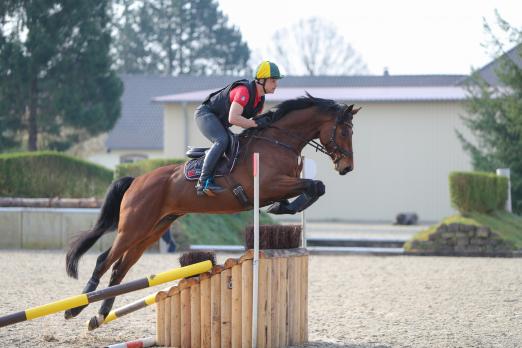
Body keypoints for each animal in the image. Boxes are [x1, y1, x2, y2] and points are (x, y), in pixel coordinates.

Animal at [64, 93, 358, 328]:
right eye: (344, 132)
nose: (347, 168)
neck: (278, 141)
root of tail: (137, 180)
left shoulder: (281, 185)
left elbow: (315, 187)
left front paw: (285, 207)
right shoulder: (270, 185)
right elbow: (315, 185)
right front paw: (284, 206)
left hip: (152, 230)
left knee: (120, 268)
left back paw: (100, 315)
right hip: (133, 226)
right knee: (104, 260)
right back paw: (75, 308)